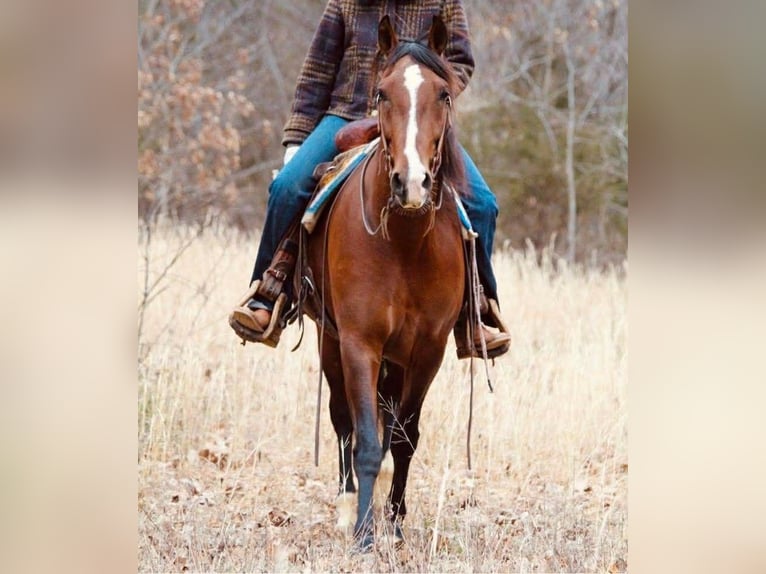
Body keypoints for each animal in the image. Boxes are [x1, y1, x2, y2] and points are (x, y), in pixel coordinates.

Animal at [299, 15, 469, 548]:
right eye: (381, 93)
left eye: (444, 94)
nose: (411, 184)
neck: (407, 243)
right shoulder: (359, 343)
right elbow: (368, 440)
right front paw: (362, 533)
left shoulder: (428, 350)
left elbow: (405, 437)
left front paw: (393, 522)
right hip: (329, 340)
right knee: (343, 420)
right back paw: (347, 505)